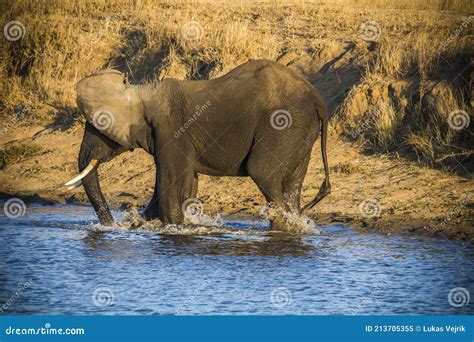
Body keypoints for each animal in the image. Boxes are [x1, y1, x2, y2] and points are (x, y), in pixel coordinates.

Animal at [65, 59, 332, 228]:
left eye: (96, 127)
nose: (111, 225)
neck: (142, 92)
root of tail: (319, 101)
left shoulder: (171, 132)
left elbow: (170, 189)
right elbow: (185, 187)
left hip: (285, 126)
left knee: (263, 173)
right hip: (301, 134)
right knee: (292, 186)